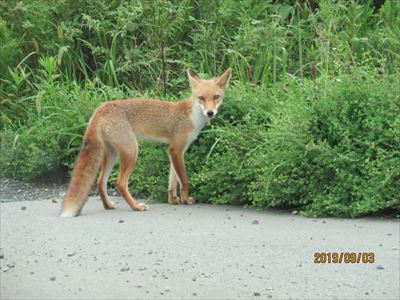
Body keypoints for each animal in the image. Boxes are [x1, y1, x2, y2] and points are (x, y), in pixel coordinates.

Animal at [59, 68, 231, 218]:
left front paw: (173, 200)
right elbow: (184, 180)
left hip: (112, 154)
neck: (192, 116)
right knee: (120, 183)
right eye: (201, 98)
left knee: (101, 182)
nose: (210, 113)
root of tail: (101, 107)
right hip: (132, 151)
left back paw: (108, 205)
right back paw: (136, 207)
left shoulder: (174, 151)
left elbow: (172, 181)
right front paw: (186, 200)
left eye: (216, 97)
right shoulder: (176, 149)